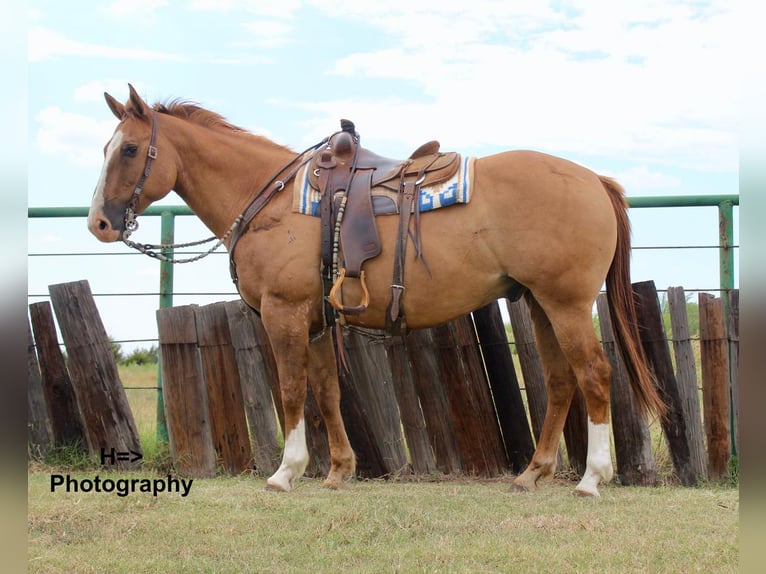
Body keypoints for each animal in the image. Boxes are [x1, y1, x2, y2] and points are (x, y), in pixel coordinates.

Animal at [88, 84, 665, 497]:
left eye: (131, 149)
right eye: (106, 147)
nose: (99, 223)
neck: (271, 199)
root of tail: (594, 180)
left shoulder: (283, 313)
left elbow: (292, 389)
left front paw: (285, 471)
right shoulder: (316, 321)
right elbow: (326, 390)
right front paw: (338, 469)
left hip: (566, 304)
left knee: (594, 374)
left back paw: (591, 479)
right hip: (542, 304)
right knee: (562, 380)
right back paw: (533, 473)